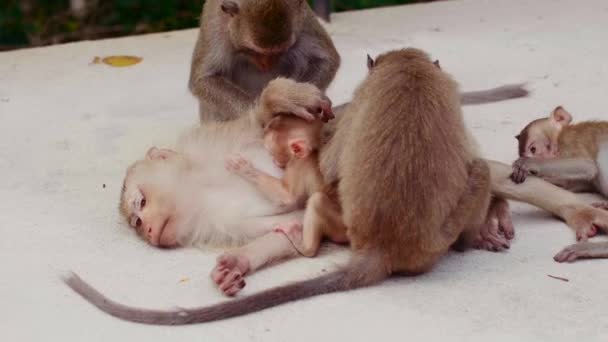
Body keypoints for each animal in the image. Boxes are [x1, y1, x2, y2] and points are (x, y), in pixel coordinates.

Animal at [189, 0, 342, 122]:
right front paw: (270, 107)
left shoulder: (303, 17)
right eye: (252, 51)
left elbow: (327, 59)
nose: (265, 65)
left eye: (281, 51)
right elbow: (203, 80)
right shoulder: (214, 23)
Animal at [226, 115, 346, 256]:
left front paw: (244, 169)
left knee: (317, 200)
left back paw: (304, 246)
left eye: (272, 153)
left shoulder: (298, 164)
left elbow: (287, 197)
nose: (273, 160)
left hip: (341, 226)